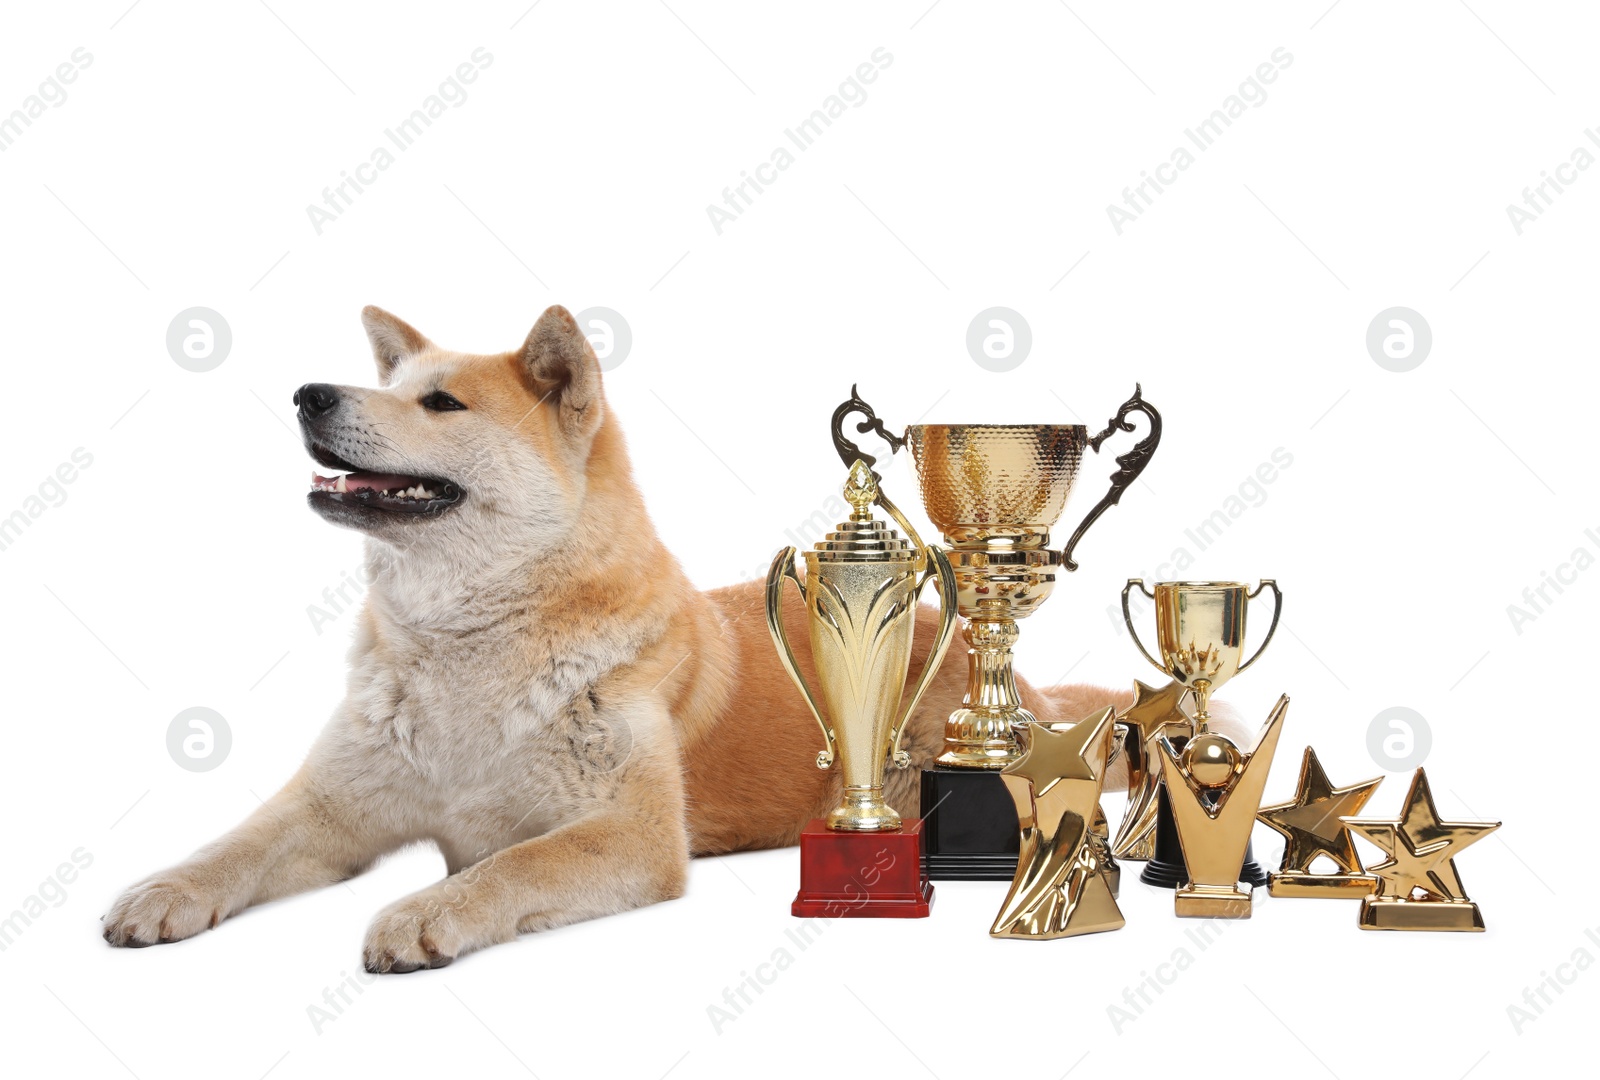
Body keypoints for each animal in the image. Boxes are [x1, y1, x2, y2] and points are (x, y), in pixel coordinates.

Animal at [103, 305, 1139, 972]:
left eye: (441, 404)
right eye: (388, 384)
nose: (310, 394)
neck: (470, 647)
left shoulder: (633, 835)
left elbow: (514, 862)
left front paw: (426, 911)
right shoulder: (334, 808)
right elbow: (238, 841)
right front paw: (162, 889)